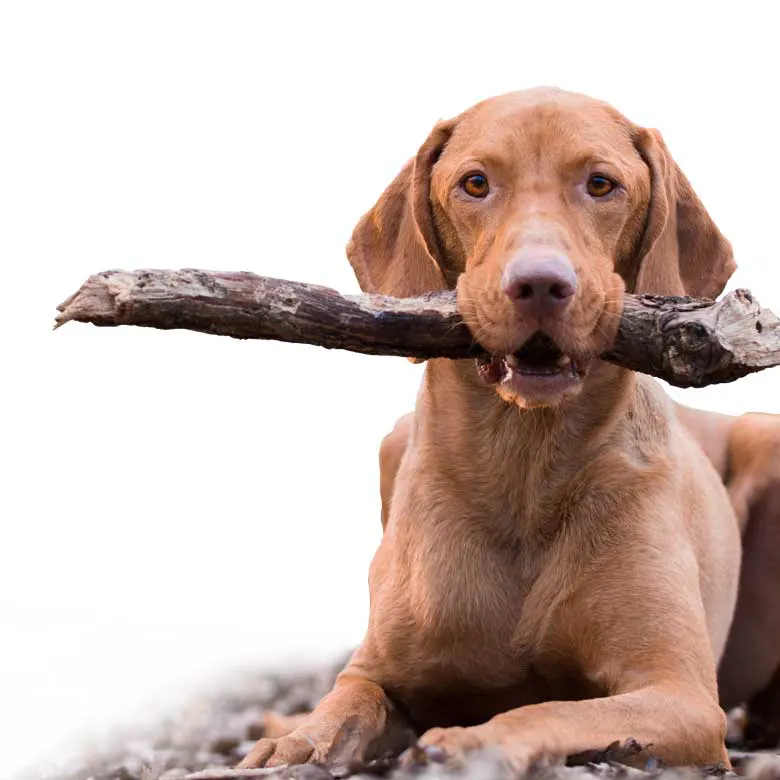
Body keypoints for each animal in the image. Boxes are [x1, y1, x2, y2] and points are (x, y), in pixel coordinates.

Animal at [241, 88, 776, 772]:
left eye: (600, 184)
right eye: (475, 183)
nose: (540, 284)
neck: (524, 462)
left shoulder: (677, 693)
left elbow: (545, 710)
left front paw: (471, 740)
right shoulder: (378, 670)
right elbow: (346, 700)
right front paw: (296, 742)